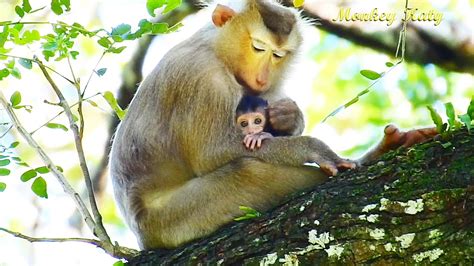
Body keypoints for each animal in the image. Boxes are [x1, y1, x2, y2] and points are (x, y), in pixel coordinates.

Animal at [109, 0, 436, 249]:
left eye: (278, 55)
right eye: (257, 47)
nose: (262, 76)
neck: (216, 50)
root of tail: (143, 236)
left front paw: (288, 116)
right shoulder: (201, 79)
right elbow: (212, 154)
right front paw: (313, 148)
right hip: (172, 221)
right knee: (249, 172)